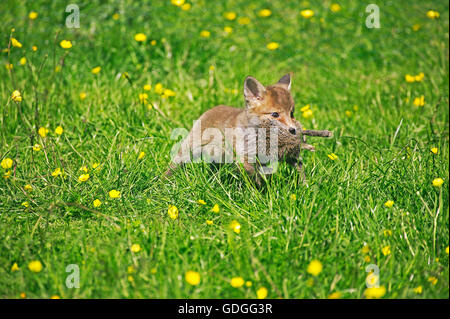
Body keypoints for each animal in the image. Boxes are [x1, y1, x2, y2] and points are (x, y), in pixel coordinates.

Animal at [166, 74, 330, 185]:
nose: (293, 130)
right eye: (275, 114)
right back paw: (164, 180)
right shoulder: (245, 157)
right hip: (188, 150)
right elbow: (255, 176)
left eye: (292, 113)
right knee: (174, 164)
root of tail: (211, 109)